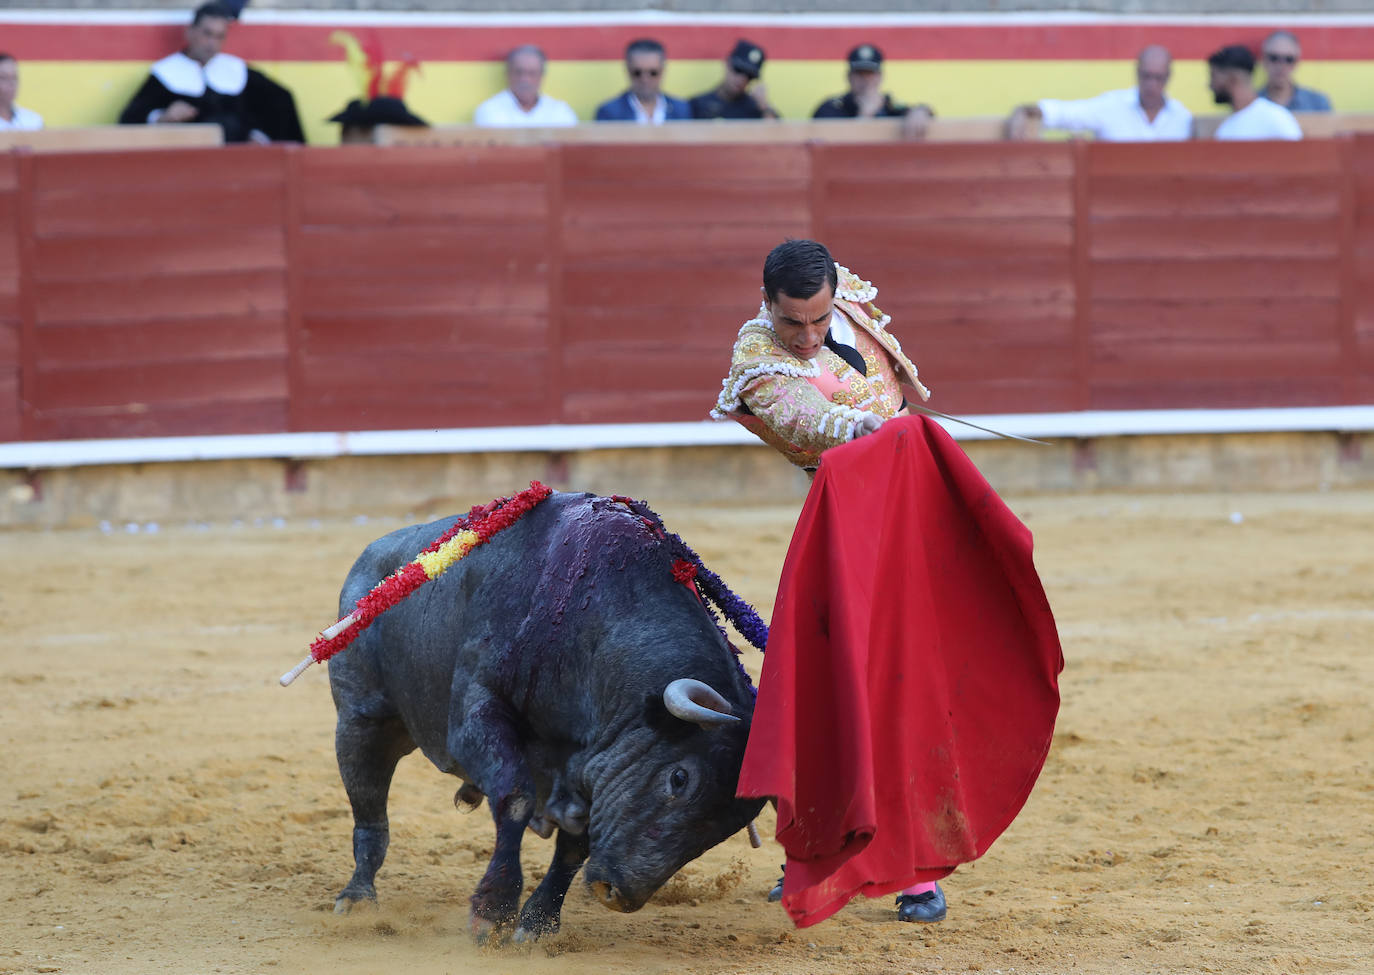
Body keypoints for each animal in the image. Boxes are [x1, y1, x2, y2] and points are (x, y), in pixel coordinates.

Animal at [327, 491, 769, 944]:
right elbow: (516, 798)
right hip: (361, 723)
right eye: (679, 778)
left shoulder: (594, 772)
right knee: (370, 813)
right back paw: (357, 898)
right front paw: (493, 910)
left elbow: (576, 843)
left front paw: (537, 924)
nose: (617, 892)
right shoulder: (476, 717)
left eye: (733, 823)